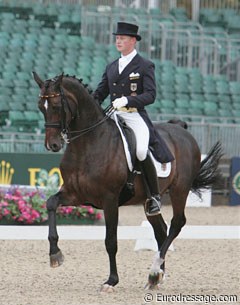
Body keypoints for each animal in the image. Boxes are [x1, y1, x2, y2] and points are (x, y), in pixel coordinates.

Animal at [32, 72, 222, 290]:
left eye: (56, 106)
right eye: (41, 106)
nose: (52, 145)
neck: (88, 144)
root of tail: (182, 130)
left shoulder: (110, 199)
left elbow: (111, 241)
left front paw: (111, 280)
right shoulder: (76, 194)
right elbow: (51, 203)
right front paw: (55, 254)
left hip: (179, 190)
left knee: (177, 223)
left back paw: (154, 270)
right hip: (149, 200)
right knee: (161, 230)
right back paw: (156, 276)